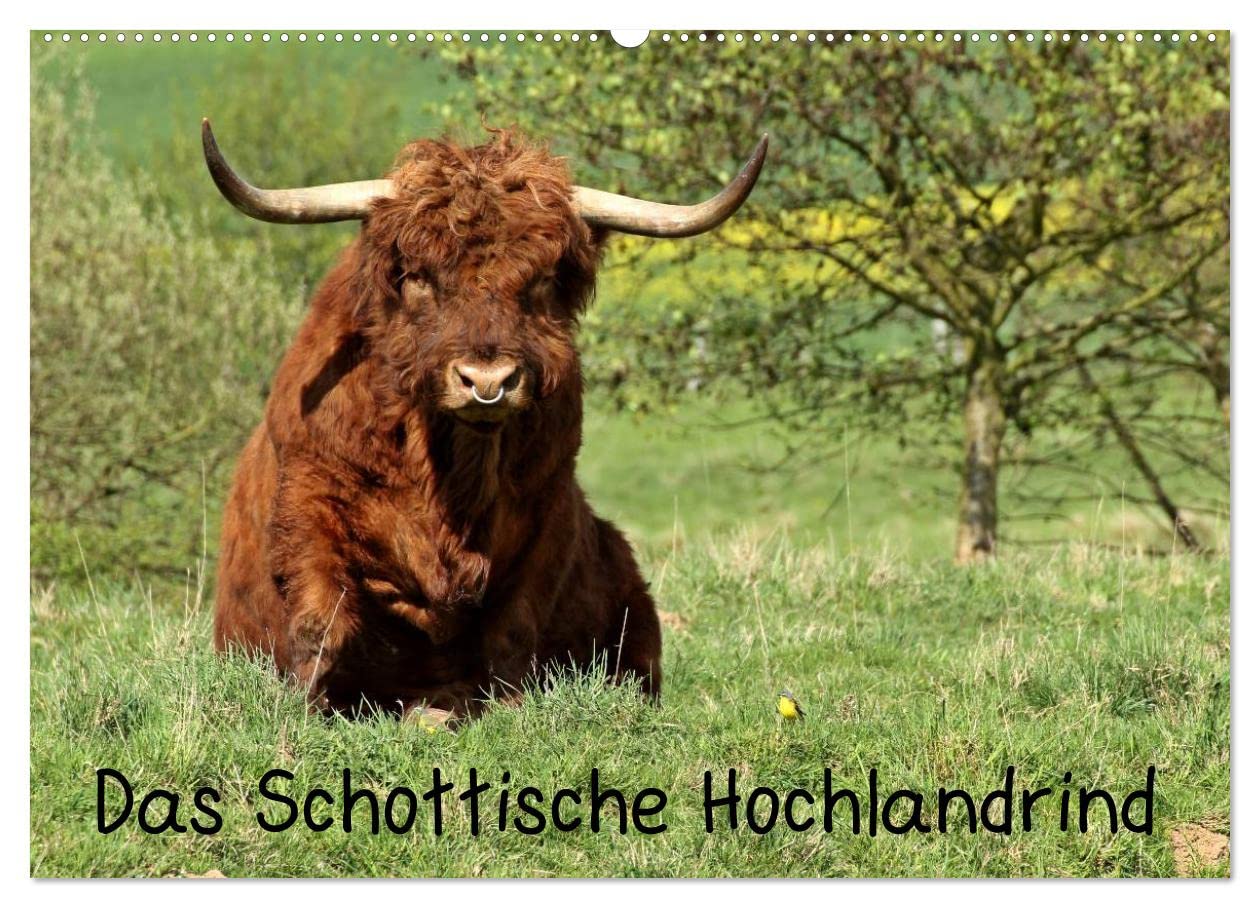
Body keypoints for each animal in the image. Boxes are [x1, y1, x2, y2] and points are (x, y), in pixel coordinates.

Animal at [205, 120, 768, 723]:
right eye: (417, 276)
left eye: (543, 279)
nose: (488, 379)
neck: (451, 477)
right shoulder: (308, 499)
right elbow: (318, 617)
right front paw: (303, 710)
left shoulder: (549, 513)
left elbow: (513, 630)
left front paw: (510, 709)